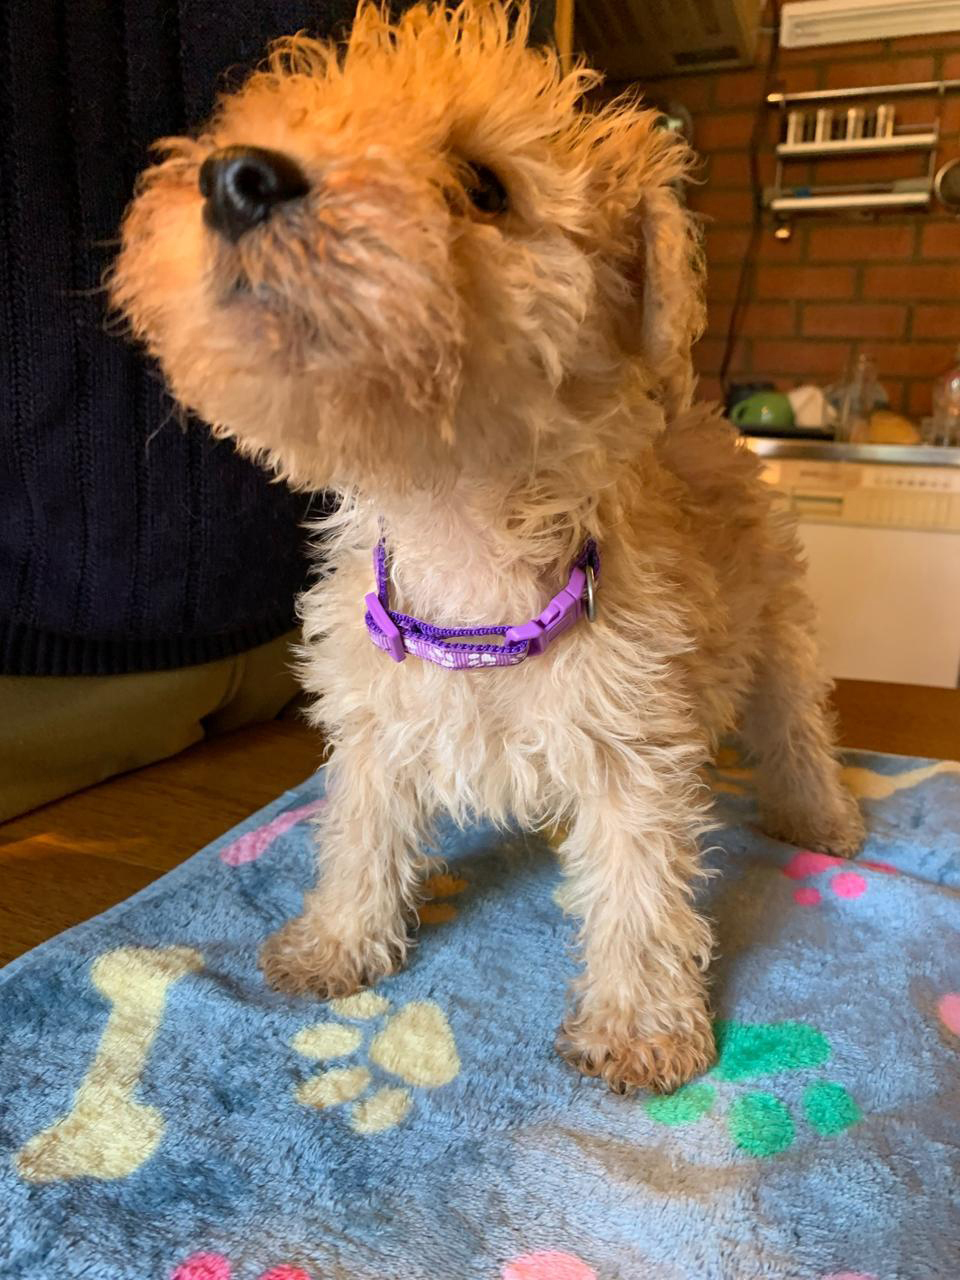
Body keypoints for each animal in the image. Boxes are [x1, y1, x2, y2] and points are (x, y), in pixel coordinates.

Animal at [111, 1, 864, 1095]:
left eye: (485, 185)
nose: (237, 178)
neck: (461, 531)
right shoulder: (372, 729)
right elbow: (359, 838)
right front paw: (335, 945)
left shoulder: (634, 740)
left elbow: (640, 888)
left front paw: (640, 1026)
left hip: (779, 633)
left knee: (797, 726)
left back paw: (822, 820)